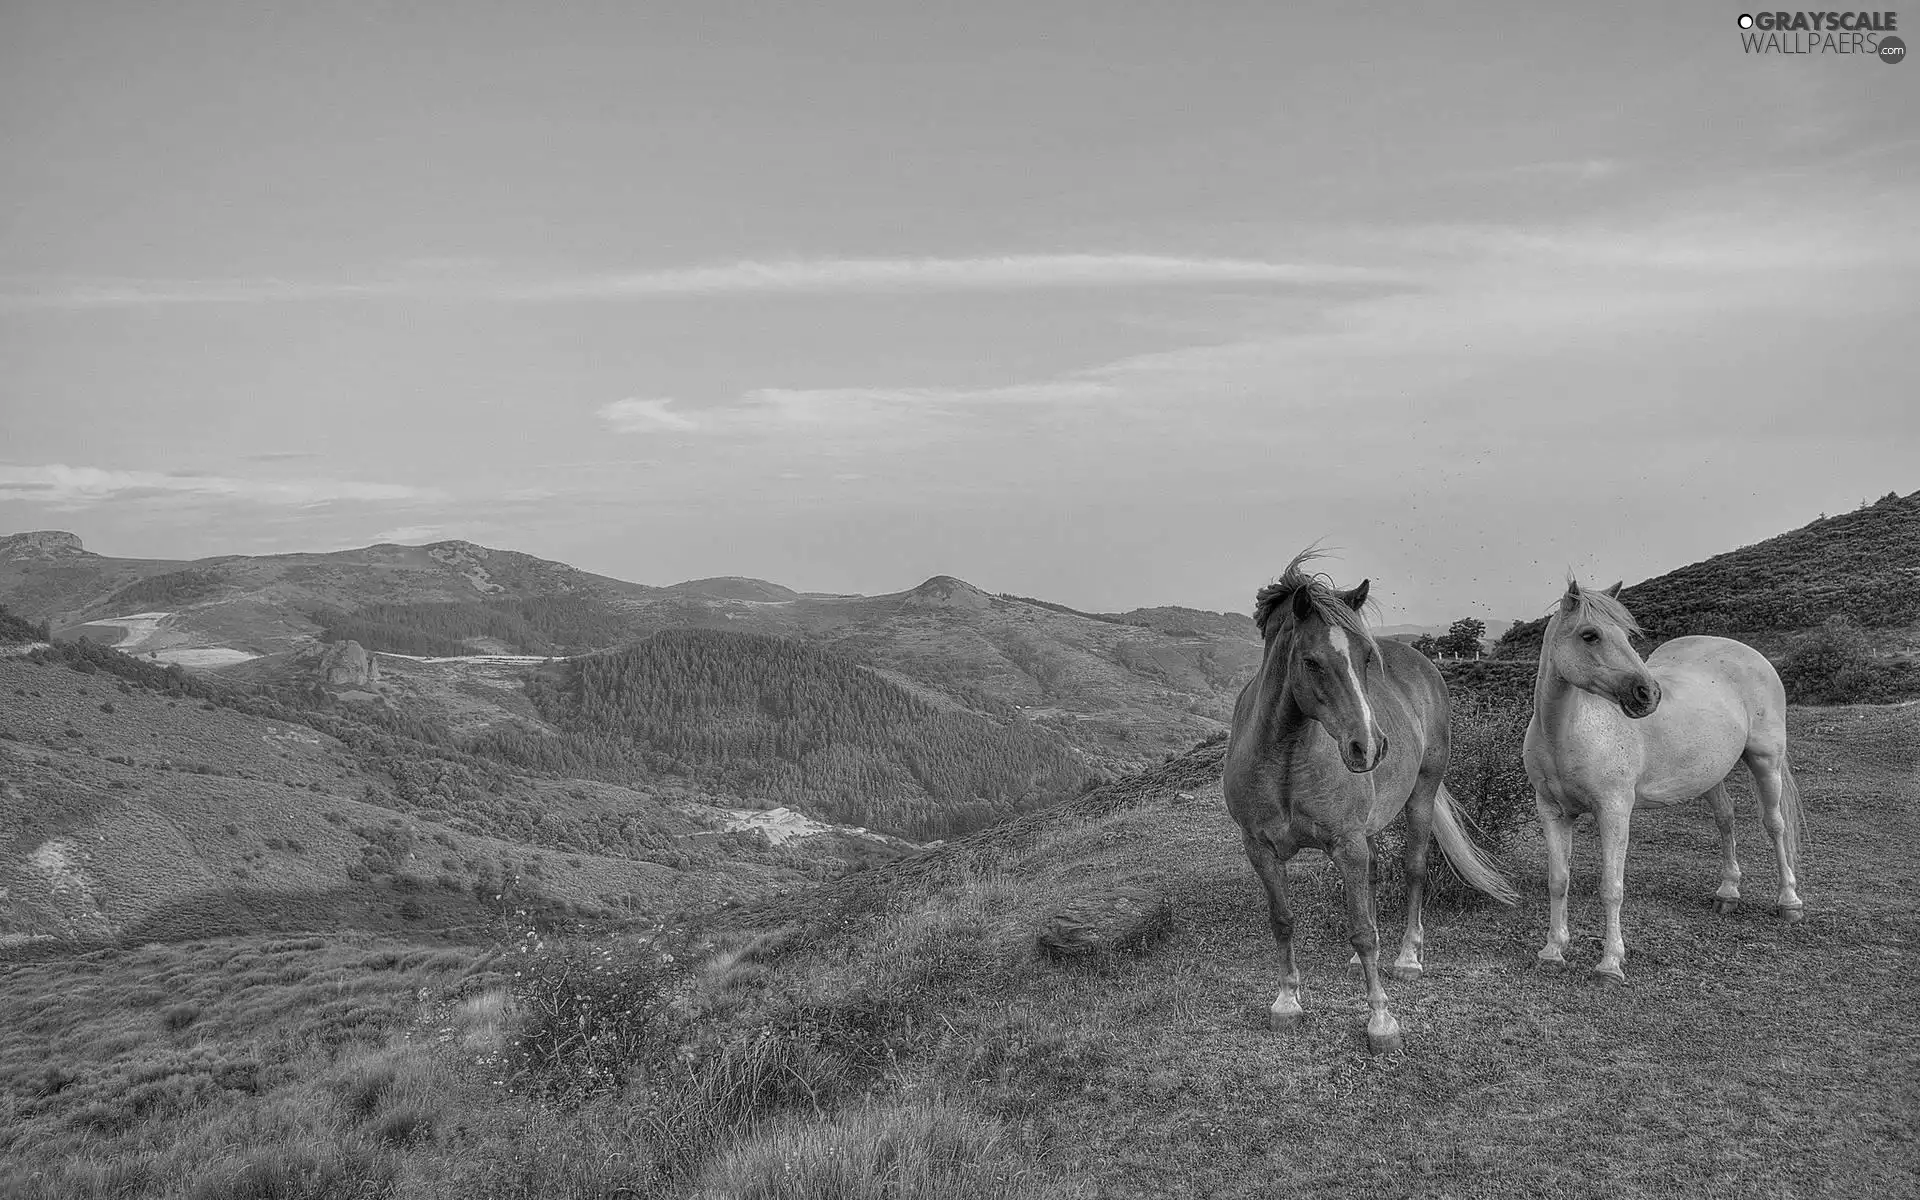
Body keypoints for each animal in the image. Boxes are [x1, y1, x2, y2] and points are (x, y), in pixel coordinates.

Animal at [1221, 552, 1520, 1044]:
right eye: (1311, 662)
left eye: (1365, 657)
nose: (1371, 746)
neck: (1285, 760)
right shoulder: (1260, 848)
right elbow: (1282, 921)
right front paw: (1287, 1002)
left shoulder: (1347, 844)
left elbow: (1361, 930)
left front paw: (1380, 1018)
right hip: (1370, 827)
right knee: (1376, 875)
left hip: (1421, 795)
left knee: (1415, 869)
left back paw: (1407, 958)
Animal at [1520, 576, 1804, 979]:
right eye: (1590, 635)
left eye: (1626, 634)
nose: (1648, 694)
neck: (1565, 732)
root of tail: (1750, 655)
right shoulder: (1553, 812)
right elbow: (1559, 880)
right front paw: (1553, 950)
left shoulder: (1614, 811)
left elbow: (1611, 887)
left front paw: (1610, 963)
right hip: (1711, 774)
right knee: (1726, 819)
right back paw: (1728, 894)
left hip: (1767, 760)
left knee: (1774, 825)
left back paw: (1789, 901)